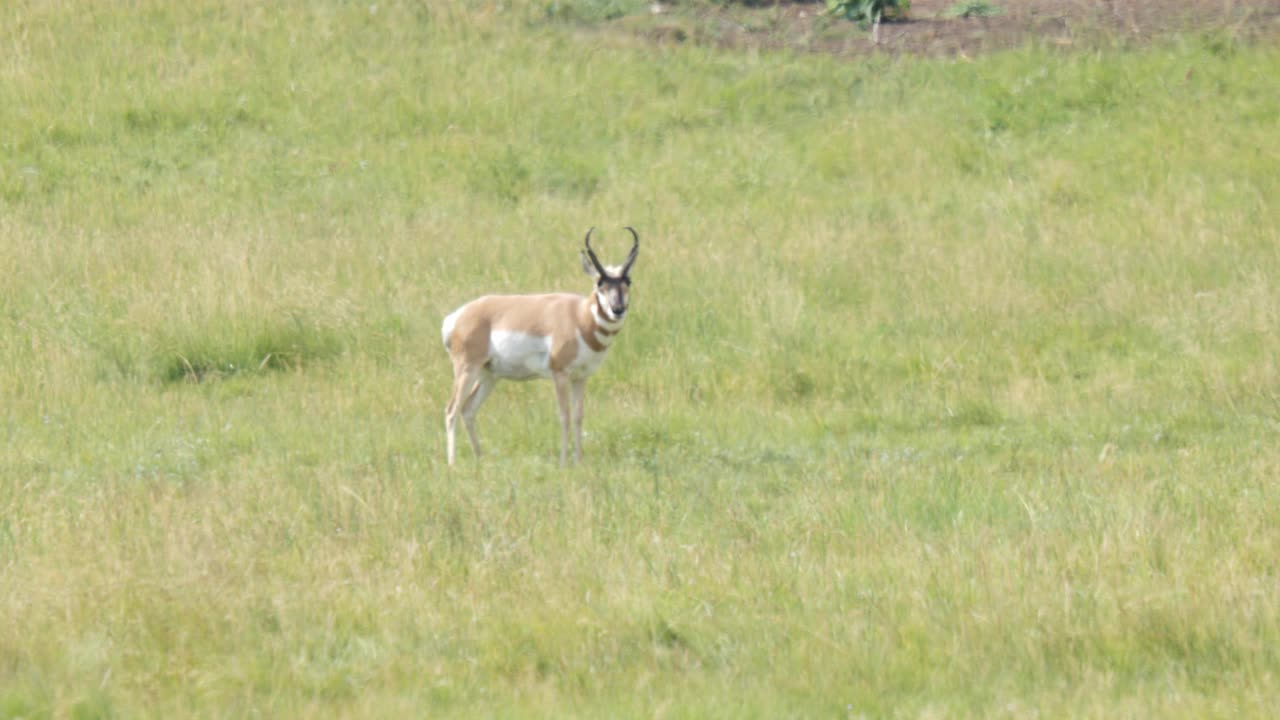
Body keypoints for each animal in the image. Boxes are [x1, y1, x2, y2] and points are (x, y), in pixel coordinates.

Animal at [440, 228, 640, 466]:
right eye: (600, 283)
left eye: (628, 280)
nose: (617, 309)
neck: (579, 316)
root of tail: (457, 317)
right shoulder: (560, 374)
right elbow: (564, 416)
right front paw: (564, 463)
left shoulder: (580, 377)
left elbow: (579, 417)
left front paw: (579, 461)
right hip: (467, 370)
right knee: (452, 409)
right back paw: (452, 464)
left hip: (489, 375)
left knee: (468, 409)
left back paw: (480, 459)